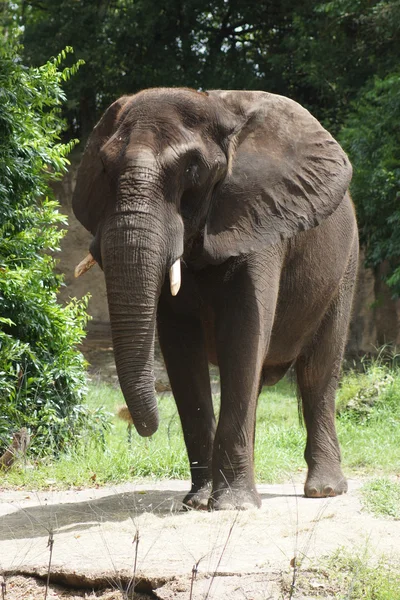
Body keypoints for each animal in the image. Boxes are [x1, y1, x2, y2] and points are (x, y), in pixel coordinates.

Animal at [72, 88, 360, 510]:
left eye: (192, 170)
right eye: (106, 169)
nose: (133, 421)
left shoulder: (257, 215)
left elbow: (242, 334)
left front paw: (233, 506)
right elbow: (181, 348)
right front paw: (197, 502)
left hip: (346, 263)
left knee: (318, 372)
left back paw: (323, 490)